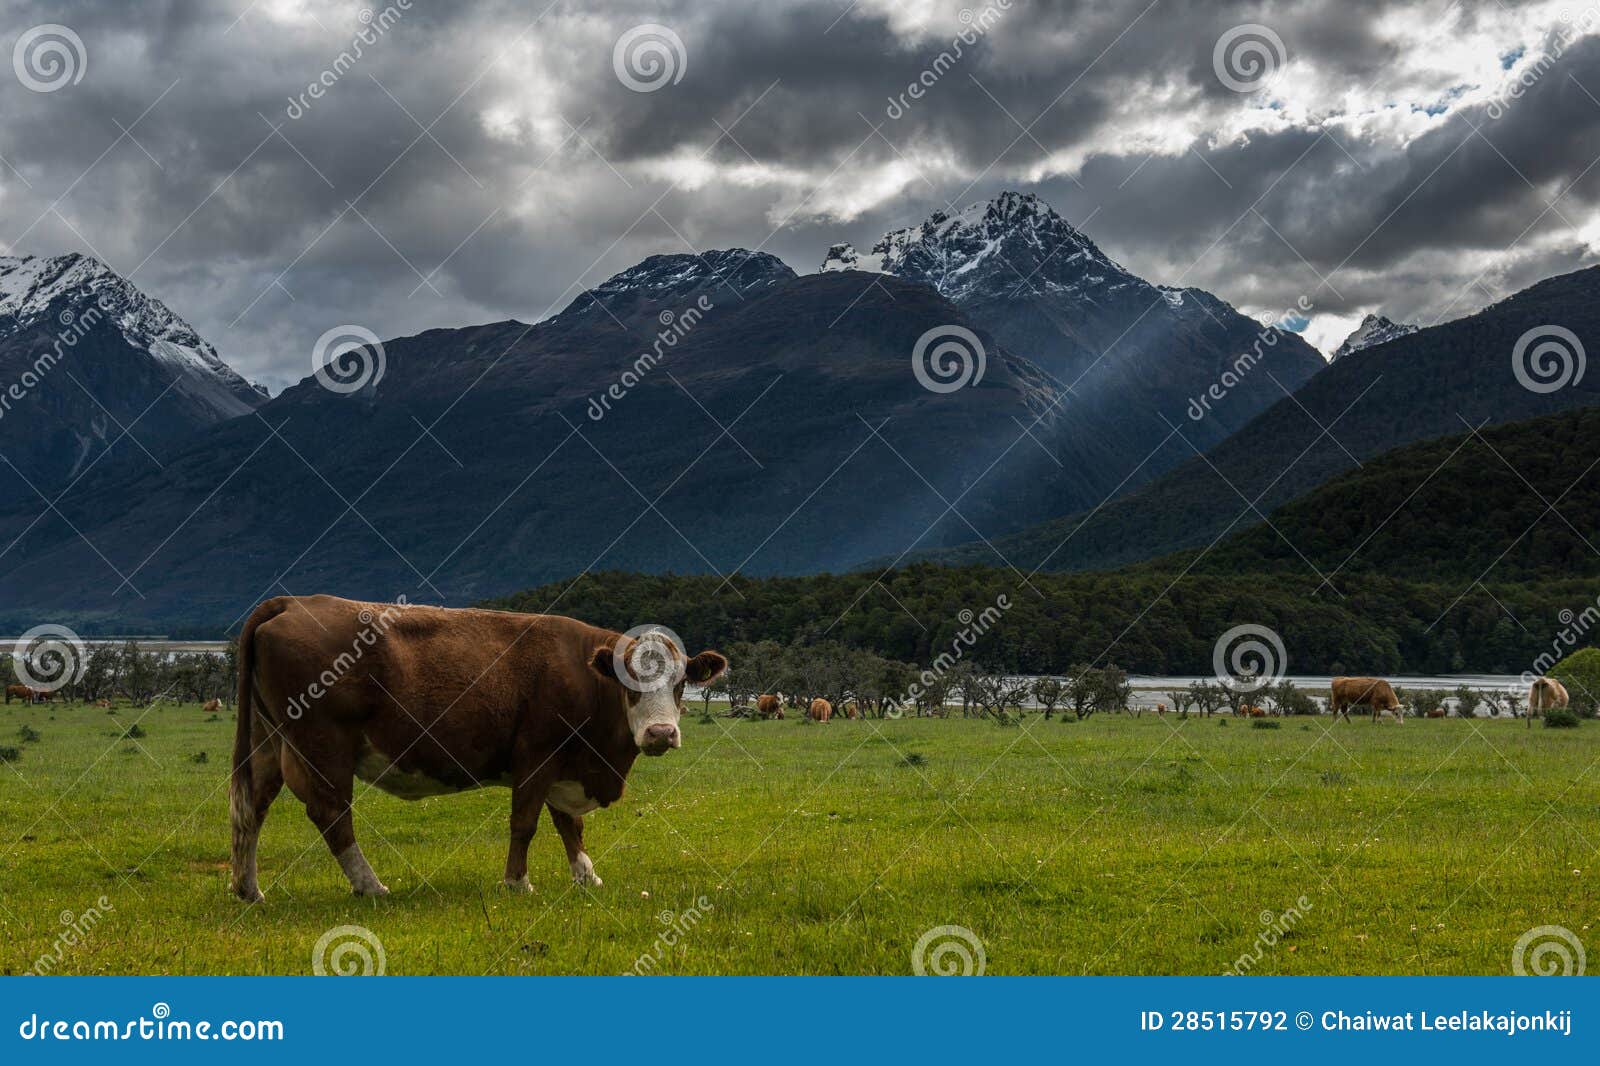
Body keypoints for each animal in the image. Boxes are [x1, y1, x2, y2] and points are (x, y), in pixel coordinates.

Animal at [228, 595, 727, 902]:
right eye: (629, 683)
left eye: (680, 682)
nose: (660, 733)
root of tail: (294, 601)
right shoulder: (537, 754)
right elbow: (526, 823)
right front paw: (517, 882)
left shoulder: (564, 763)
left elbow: (570, 825)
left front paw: (586, 876)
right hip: (324, 746)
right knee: (331, 815)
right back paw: (371, 886)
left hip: (268, 742)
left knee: (252, 809)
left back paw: (249, 889)